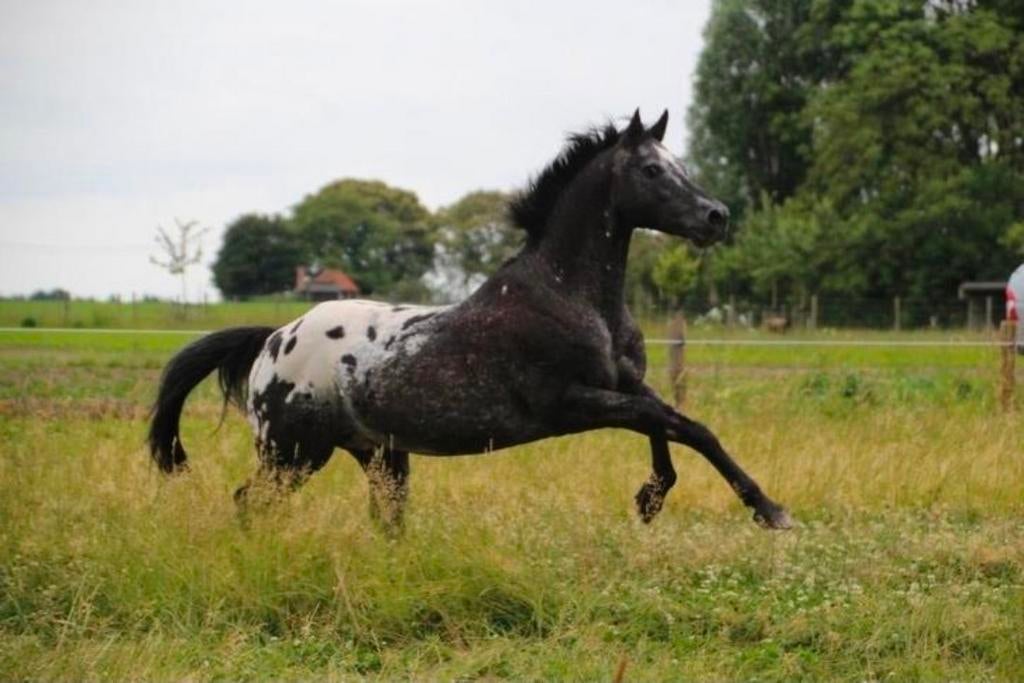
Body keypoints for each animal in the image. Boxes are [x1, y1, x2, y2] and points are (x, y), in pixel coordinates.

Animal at [148, 109, 792, 530]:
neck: (574, 297)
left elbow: (678, 425)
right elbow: (676, 424)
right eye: (653, 172)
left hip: (378, 455)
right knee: (249, 502)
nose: (716, 216)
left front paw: (661, 501)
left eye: (677, 163)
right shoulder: (570, 402)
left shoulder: (625, 384)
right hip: (293, 452)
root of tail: (273, 339)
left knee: (384, 515)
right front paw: (766, 511)